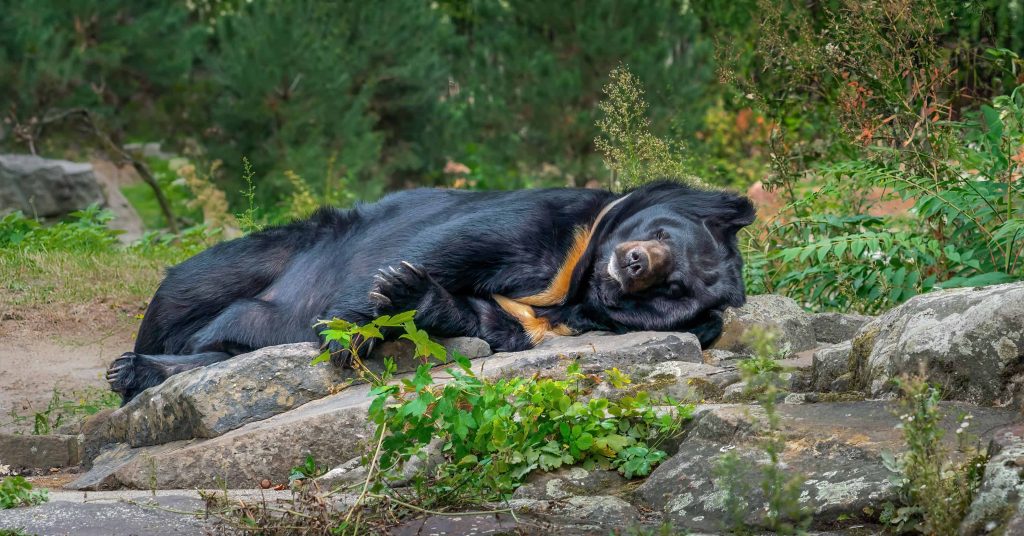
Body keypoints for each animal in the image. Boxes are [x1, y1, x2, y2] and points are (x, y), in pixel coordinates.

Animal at [108, 180, 757, 401]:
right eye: (662, 232)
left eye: (670, 290)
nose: (633, 262)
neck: (574, 282)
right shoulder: (552, 221)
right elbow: (451, 242)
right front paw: (347, 331)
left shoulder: (537, 320)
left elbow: (484, 320)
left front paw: (407, 297)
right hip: (271, 254)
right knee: (185, 291)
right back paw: (131, 367)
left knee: (221, 351)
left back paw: (141, 371)